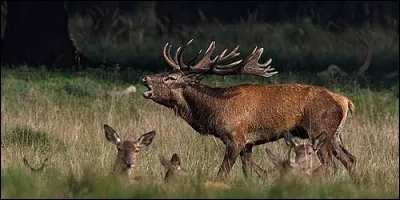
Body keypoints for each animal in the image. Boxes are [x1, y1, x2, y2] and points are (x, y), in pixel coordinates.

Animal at [141, 38, 356, 180]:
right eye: (165, 73)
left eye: (169, 78)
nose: (145, 78)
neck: (212, 112)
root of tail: (345, 101)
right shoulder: (248, 144)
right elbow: (247, 172)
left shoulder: (235, 138)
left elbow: (222, 172)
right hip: (335, 134)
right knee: (350, 159)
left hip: (319, 130)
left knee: (330, 165)